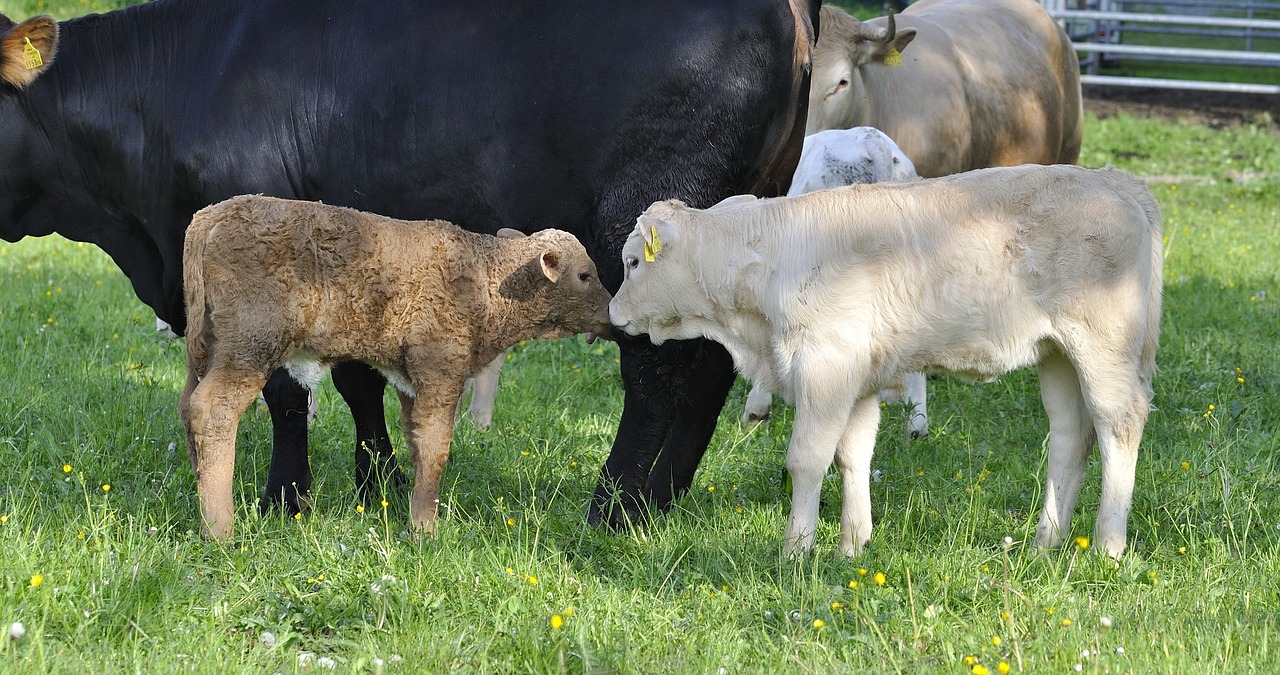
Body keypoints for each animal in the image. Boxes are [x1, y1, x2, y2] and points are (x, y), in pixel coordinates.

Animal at [180, 194, 614, 537]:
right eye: (584, 274)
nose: (610, 314)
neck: (485, 278)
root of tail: (215, 213)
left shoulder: (410, 382)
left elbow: (416, 441)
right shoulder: (441, 375)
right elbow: (436, 445)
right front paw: (424, 530)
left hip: (207, 350)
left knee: (188, 408)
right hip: (249, 350)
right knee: (213, 411)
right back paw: (219, 529)